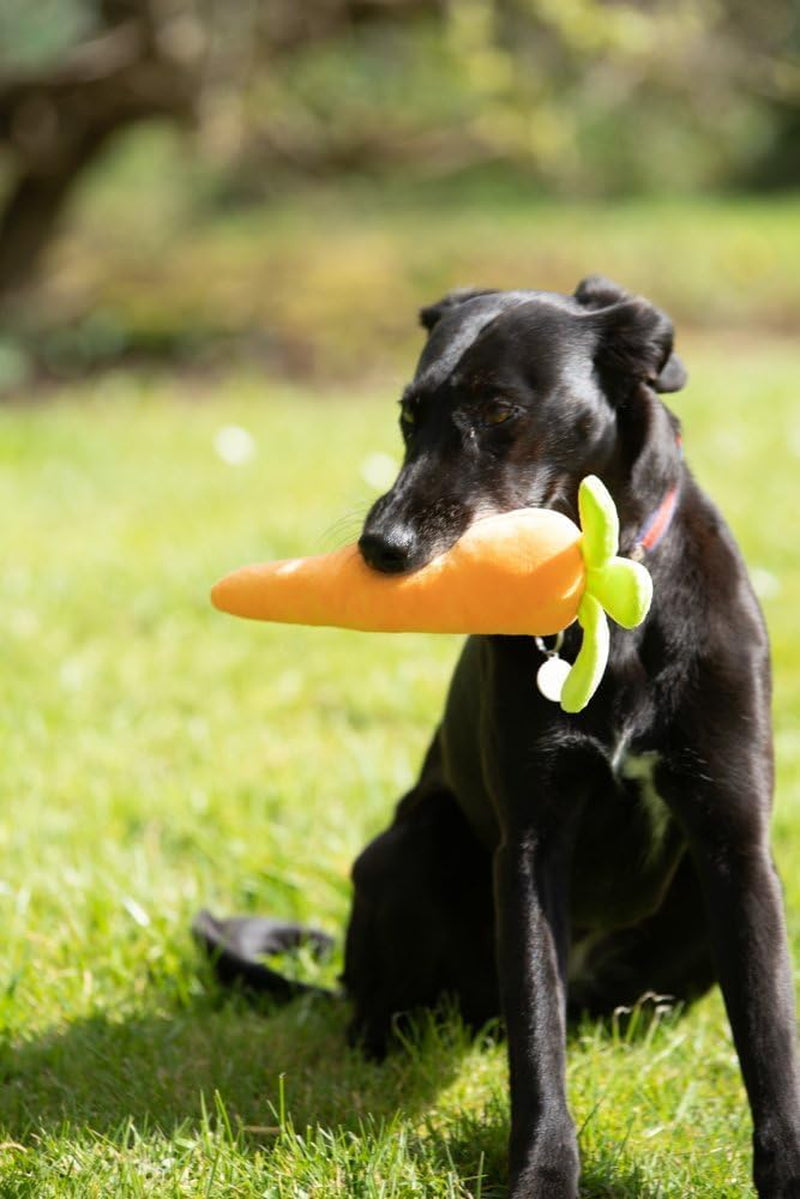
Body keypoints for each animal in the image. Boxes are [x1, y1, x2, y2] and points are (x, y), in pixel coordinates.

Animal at [196, 278, 796, 1199]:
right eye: (408, 415)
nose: (382, 547)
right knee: (390, 1009)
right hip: (411, 848)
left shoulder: (736, 839)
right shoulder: (528, 847)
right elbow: (535, 1048)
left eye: (500, 408)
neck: (602, 599)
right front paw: (543, 1176)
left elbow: (769, 1040)